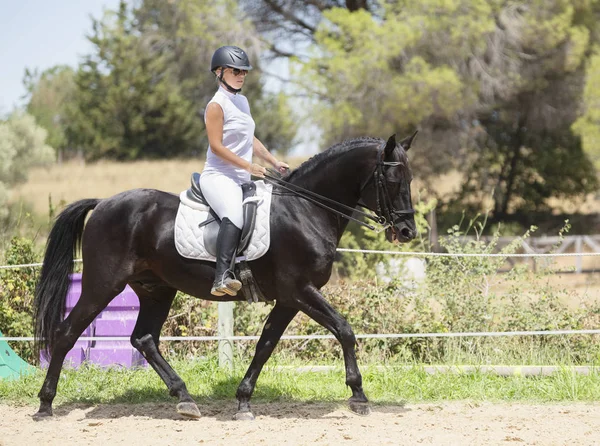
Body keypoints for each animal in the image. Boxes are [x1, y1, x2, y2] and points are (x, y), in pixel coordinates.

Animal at [32, 132, 418, 418]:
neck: (305, 210)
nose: (407, 231)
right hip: (102, 285)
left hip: (156, 290)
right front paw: (358, 394)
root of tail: (103, 204)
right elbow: (345, 330)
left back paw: (185, 398)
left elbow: (265, 345)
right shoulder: (301, 291)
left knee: (143, 338)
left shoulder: (289, 299)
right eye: (393, 178)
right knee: (66, 334)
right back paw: (45, 404)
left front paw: (244, 399)